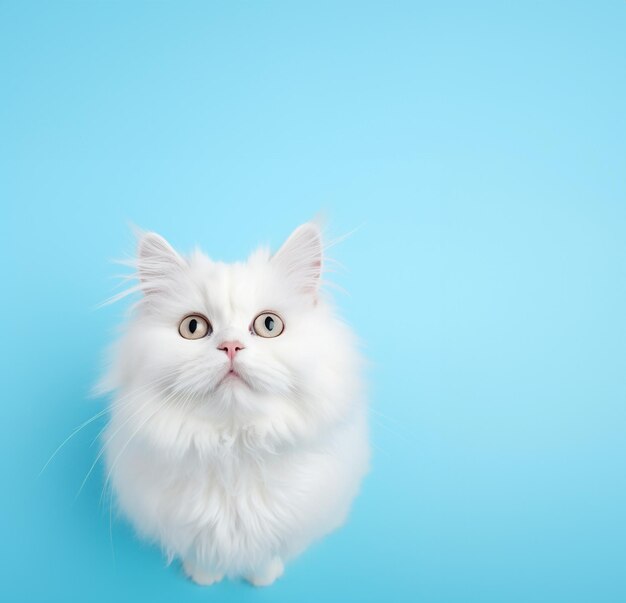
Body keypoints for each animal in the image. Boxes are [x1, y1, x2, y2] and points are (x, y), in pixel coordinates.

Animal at [98, 222, 368, 584]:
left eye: (269, 324)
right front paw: (203, 577)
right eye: (193, 327)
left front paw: (263, 578)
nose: (230, 346)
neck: (234, 452)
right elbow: (203, 555)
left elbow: (264, 556)